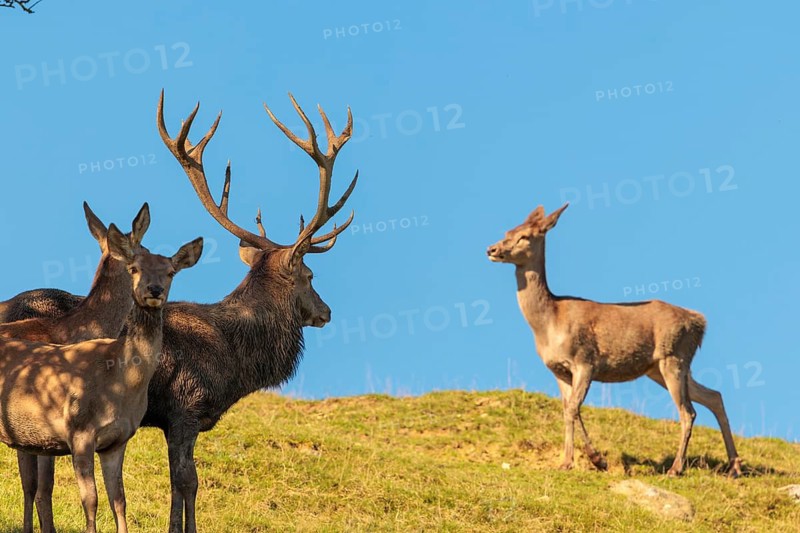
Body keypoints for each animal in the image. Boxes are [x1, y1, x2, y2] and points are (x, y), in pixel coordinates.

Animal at [487, 203, 742, 478]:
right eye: (507, 230)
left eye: (524, 236)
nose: (492, 249)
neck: (549, 323)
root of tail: (699, 323)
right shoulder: (558, 370)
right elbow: (567, 410)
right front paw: (572, 461)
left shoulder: (585, 361)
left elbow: (574, 407)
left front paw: (593, 460)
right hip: (662, 368)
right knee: (713, 396)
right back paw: (734, 466)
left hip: (673, 356)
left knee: (688, 411)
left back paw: (676, 468)